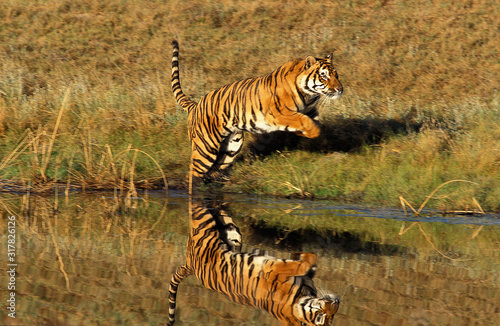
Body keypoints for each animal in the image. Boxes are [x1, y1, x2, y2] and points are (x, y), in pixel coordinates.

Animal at [168, 197, 340, 324]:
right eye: (322, 316)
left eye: (331, 316)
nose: (335, 303)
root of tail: (189, 264)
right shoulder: (277, 268)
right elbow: (308, 260)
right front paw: (301, 254)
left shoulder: (274, 268)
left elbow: (305, 263)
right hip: (218, 230)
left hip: (218, 230)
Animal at [170, 40, 342, 183]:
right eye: (324, 76)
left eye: (336, 75)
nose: (340, 89)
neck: (308, 94)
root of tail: (195, 105)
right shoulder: (279, 114)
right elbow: (304, 121)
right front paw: (311, 133)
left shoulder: (310, 110)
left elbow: (315, 122)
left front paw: (314, 136)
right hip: (206, 147)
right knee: (193, 174)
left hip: (232, 145)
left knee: (217, 167)